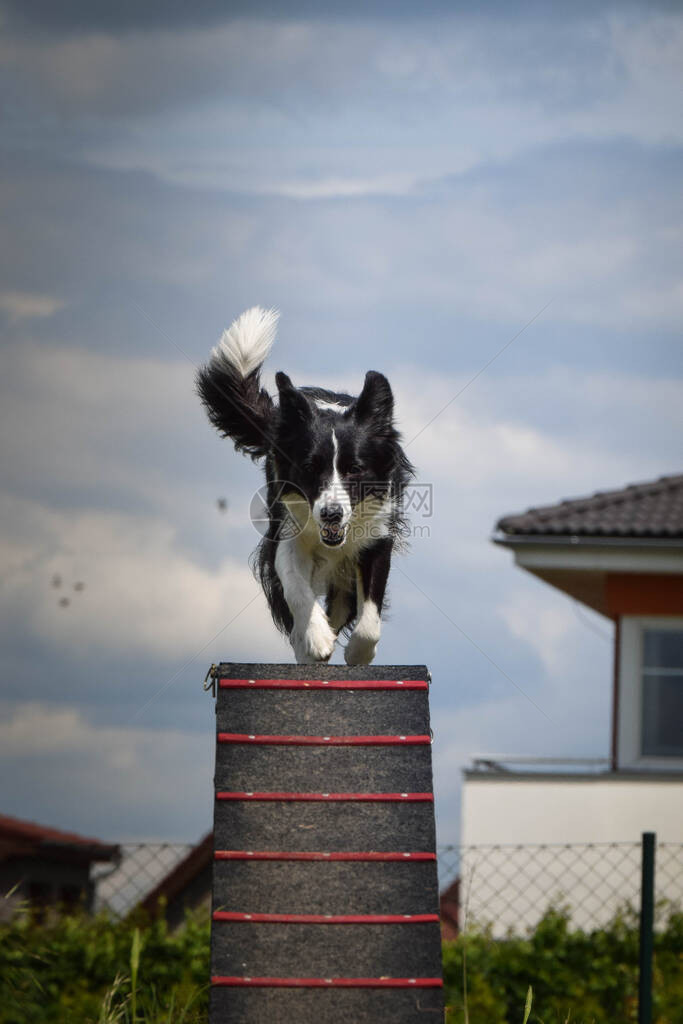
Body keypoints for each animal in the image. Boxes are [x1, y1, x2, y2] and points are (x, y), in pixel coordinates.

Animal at [194, 307, 413, 667]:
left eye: (355, 470)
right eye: (310, 468)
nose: (331, 515)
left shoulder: (377, 535)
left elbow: (370, 614)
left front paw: (357, 652)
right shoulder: (287, 530)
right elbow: (296, 587)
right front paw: (315, 638)